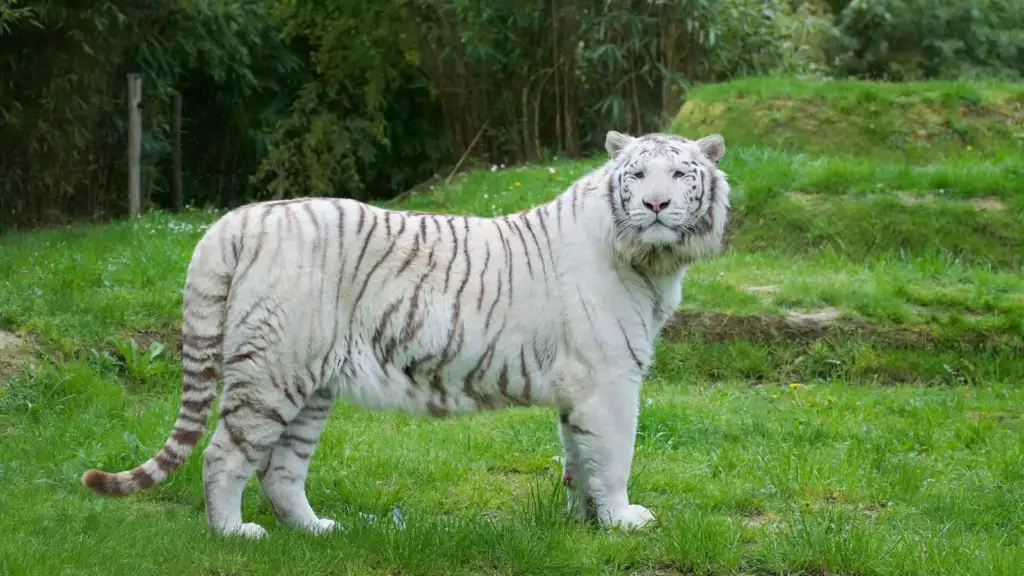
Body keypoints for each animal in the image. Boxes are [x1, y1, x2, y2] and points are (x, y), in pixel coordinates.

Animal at [81, 130, 730, 539]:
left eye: (680, 173)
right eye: (637, 175)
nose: (655, 204)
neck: (649, 261)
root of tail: (238, 218)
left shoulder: (579, 386)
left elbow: (580, 456)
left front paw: (584, 522)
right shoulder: (608, 378)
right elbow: (615, 455)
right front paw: (622, 522)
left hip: (312, 382)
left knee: (281, 468)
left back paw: (315, 530)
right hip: (272, 371)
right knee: (224, 454)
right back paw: (234, 534)